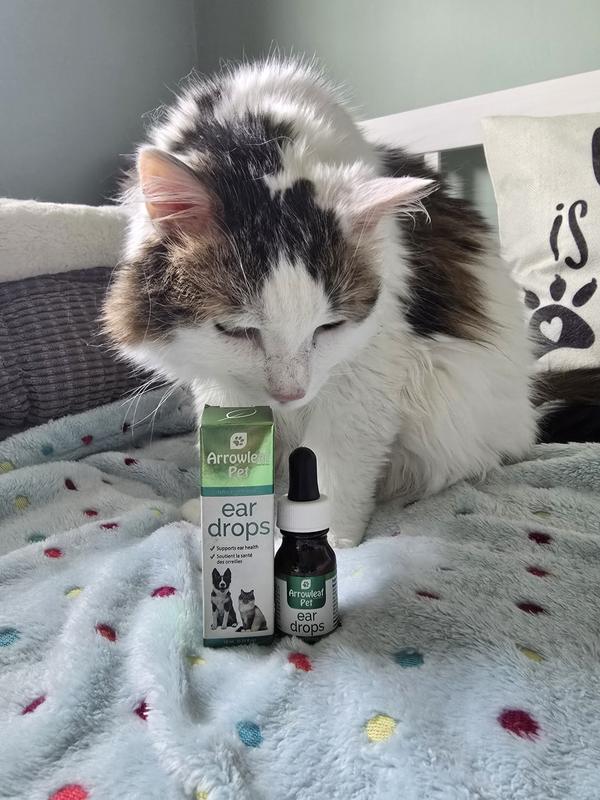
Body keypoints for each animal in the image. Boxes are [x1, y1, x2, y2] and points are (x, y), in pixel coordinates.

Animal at [103, 57, 539, 547]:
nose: (290, 394)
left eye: (329, 328)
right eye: (236, 331)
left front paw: (333, 543)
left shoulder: (369, 364)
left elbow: (335, 465)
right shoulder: (219, 379)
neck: (256, 140)